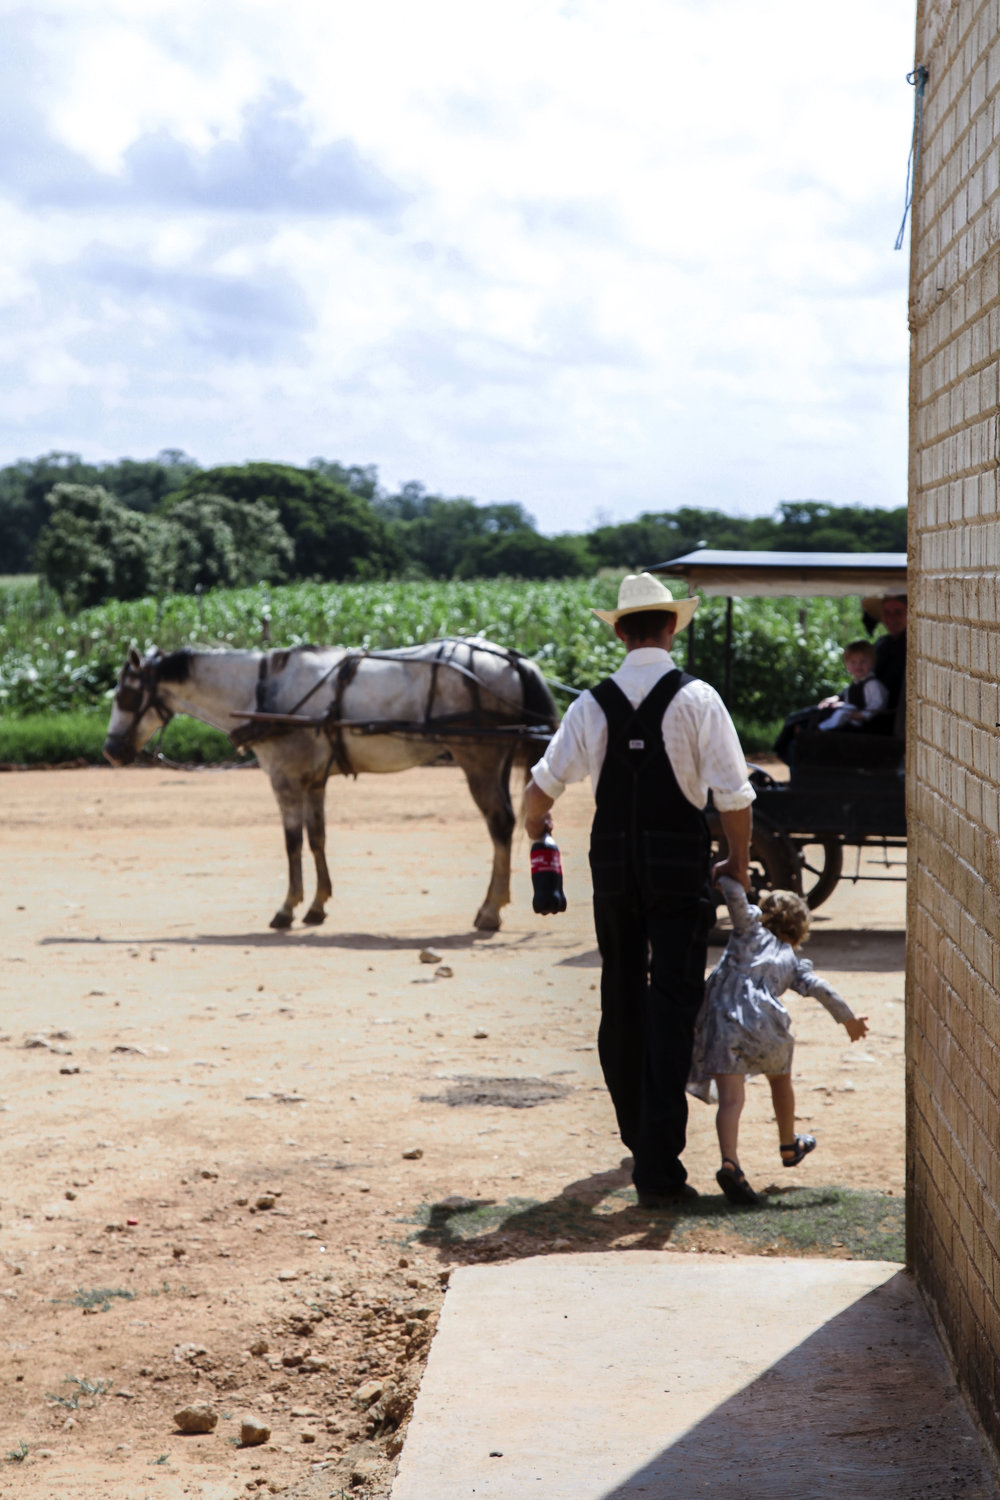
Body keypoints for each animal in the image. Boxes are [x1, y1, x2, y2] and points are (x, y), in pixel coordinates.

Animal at [103, 637, 559, 932]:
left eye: (125, 696)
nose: (110, 750)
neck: (264, 688)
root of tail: (513, 660)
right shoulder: (313, 781)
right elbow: (316, 837)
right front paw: (317, 905)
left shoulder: (285, 778)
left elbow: (291, 841)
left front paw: (287, 908)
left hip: (478, 760)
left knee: (500, 825)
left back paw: (489, 911)